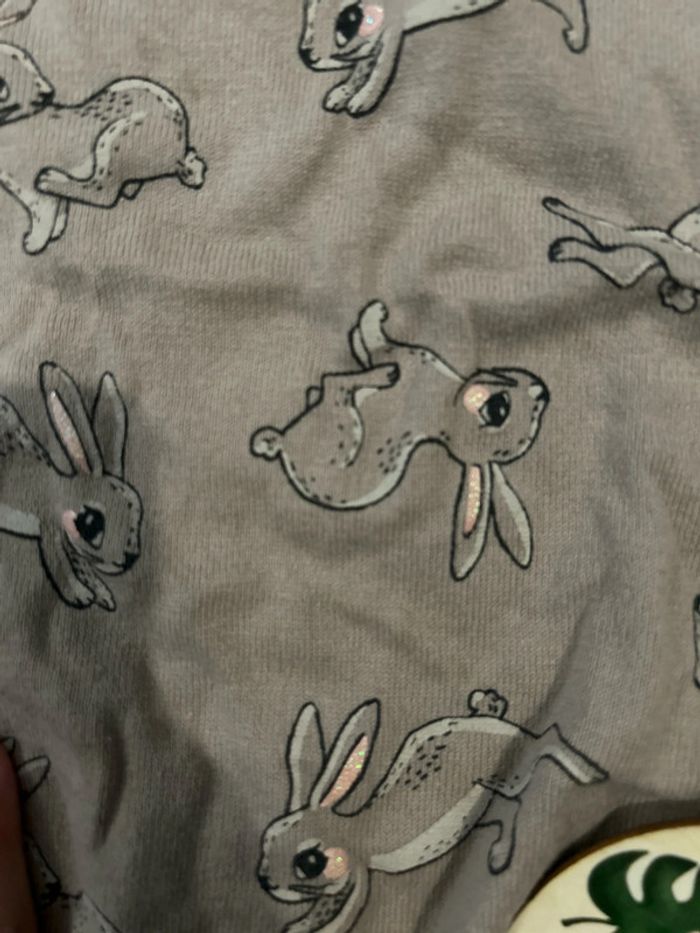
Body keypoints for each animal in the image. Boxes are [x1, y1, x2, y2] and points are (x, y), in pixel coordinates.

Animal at [0, 8, 206, 255]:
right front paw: (56, 232)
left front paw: (33, 243)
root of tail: (178, 149)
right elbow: (60, 211)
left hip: (115, 142)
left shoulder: (33, 191)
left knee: (103, 192)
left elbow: (43, 213)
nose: (47, 92)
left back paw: (50, 179)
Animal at [0, 362, 143, 611]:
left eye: (138, 511)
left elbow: (82, 566)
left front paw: (103, 595)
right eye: (91, 523)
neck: (61, 494)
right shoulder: (50, 529)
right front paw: (79, 595)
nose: (130, 559)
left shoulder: (70, 541)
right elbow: (59, 564)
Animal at [252, 301, 549, 581]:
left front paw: (373, 316)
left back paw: (376, 375)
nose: (543, 391)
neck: (446, 409)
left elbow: (372, 339)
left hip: (345, 431)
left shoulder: (399, 355)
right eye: (500, 408)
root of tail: (283, 446)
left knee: (335, 384)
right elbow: (365, 342)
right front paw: (368, 323)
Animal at [257, 689, 608, 933]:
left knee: (547, 738)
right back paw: (498, 856)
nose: (265, 882)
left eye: (309, 862)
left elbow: (341, 918)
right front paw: (298, 926)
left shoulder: (358, 879)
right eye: (267, 841)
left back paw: (589, 774)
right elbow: (319, 912)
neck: (348, 836)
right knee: (510, 809)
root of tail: (483, 719)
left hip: (510, 774)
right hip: (476, 813)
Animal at [299, 0, 589, 115]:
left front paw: (364, 99)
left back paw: (577, 37)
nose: (306, 55)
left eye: (350, 20)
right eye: (307, 10)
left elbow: (379, 69)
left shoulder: (391, 27)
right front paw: (344, 92)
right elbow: (363, 65)